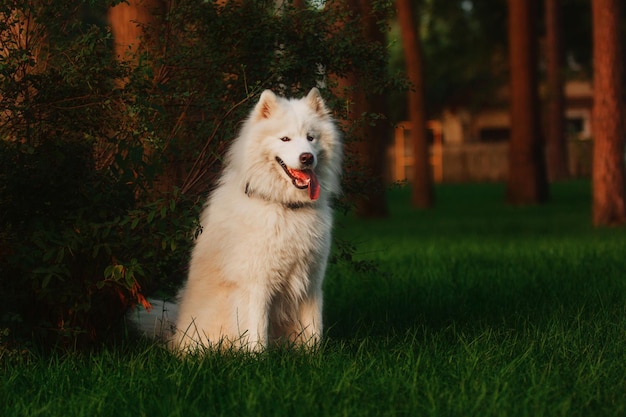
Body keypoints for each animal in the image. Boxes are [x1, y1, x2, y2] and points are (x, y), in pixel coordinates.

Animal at [134, 88, 342, 352]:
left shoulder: (311, 283)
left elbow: (314, 329)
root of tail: (175, 332)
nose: (307, 158)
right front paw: (257, 358)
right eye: (285, 139)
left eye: (311, 138)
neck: (283, 206)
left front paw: (314, 357)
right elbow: (257, 332)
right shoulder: (256, 283)